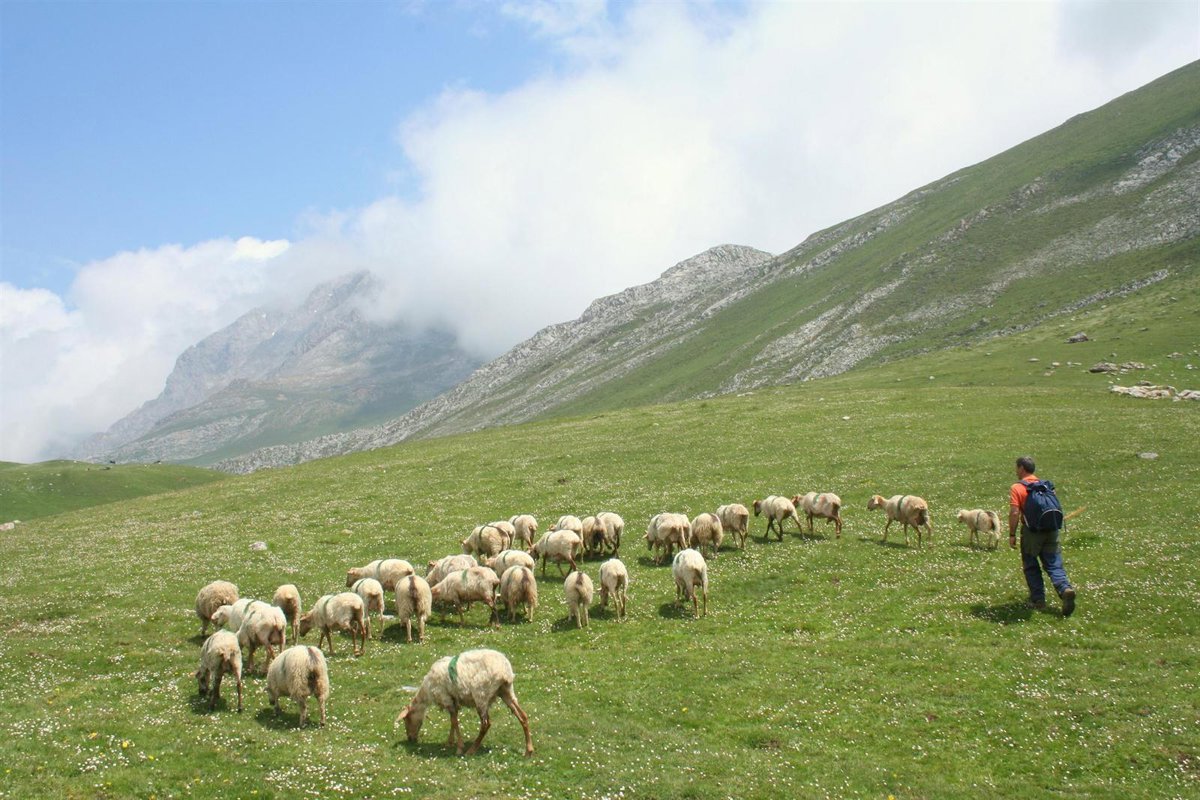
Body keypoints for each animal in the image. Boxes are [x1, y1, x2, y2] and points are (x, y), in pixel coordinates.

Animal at [395, 649, 533, 757]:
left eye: (406, 719)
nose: (410, 739)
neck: (427, 692)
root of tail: (505, 672)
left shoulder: (446, 698)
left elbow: (454, 722)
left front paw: (459, 748)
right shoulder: (453, 700)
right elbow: (452, 721)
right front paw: (449, 742)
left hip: (481, 694)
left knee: (486, 724)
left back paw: (471, 750)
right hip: (506, 691)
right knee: (523, 716)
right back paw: (529, 750)